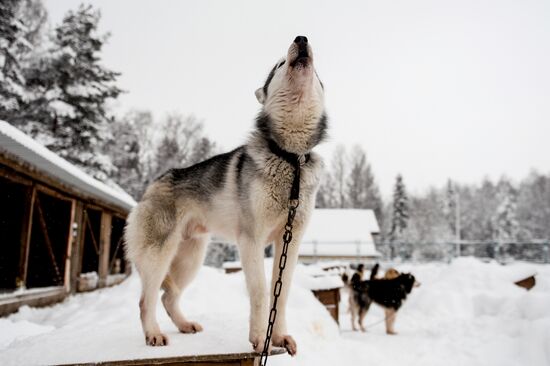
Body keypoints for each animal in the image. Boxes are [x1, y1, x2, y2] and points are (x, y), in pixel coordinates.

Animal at [125, 36, 328, 354]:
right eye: (280, 64)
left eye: (317, 71)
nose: (301, 39)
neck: (289, 157)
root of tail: (153, 184)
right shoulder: (250, 240)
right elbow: (260, 293)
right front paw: (259, 339)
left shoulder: (290, 242)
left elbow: (280, 294)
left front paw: (279, 337)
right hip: (160, 256)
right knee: (146, 300)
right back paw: (154, 335)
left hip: (190, 258)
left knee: (168, 297)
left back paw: (185, 325)